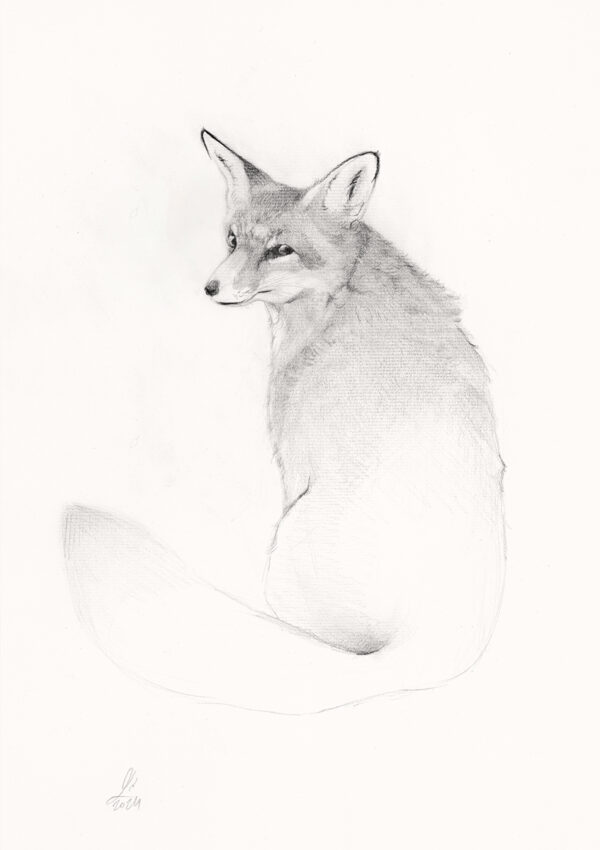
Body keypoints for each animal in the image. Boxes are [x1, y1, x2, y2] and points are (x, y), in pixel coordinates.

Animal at [63, 130, 505, 714]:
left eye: (280, 250)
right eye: (232, 240)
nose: (211, 287)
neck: (341, 300)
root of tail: (435, 640)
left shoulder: (295, 462)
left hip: (289, 549)